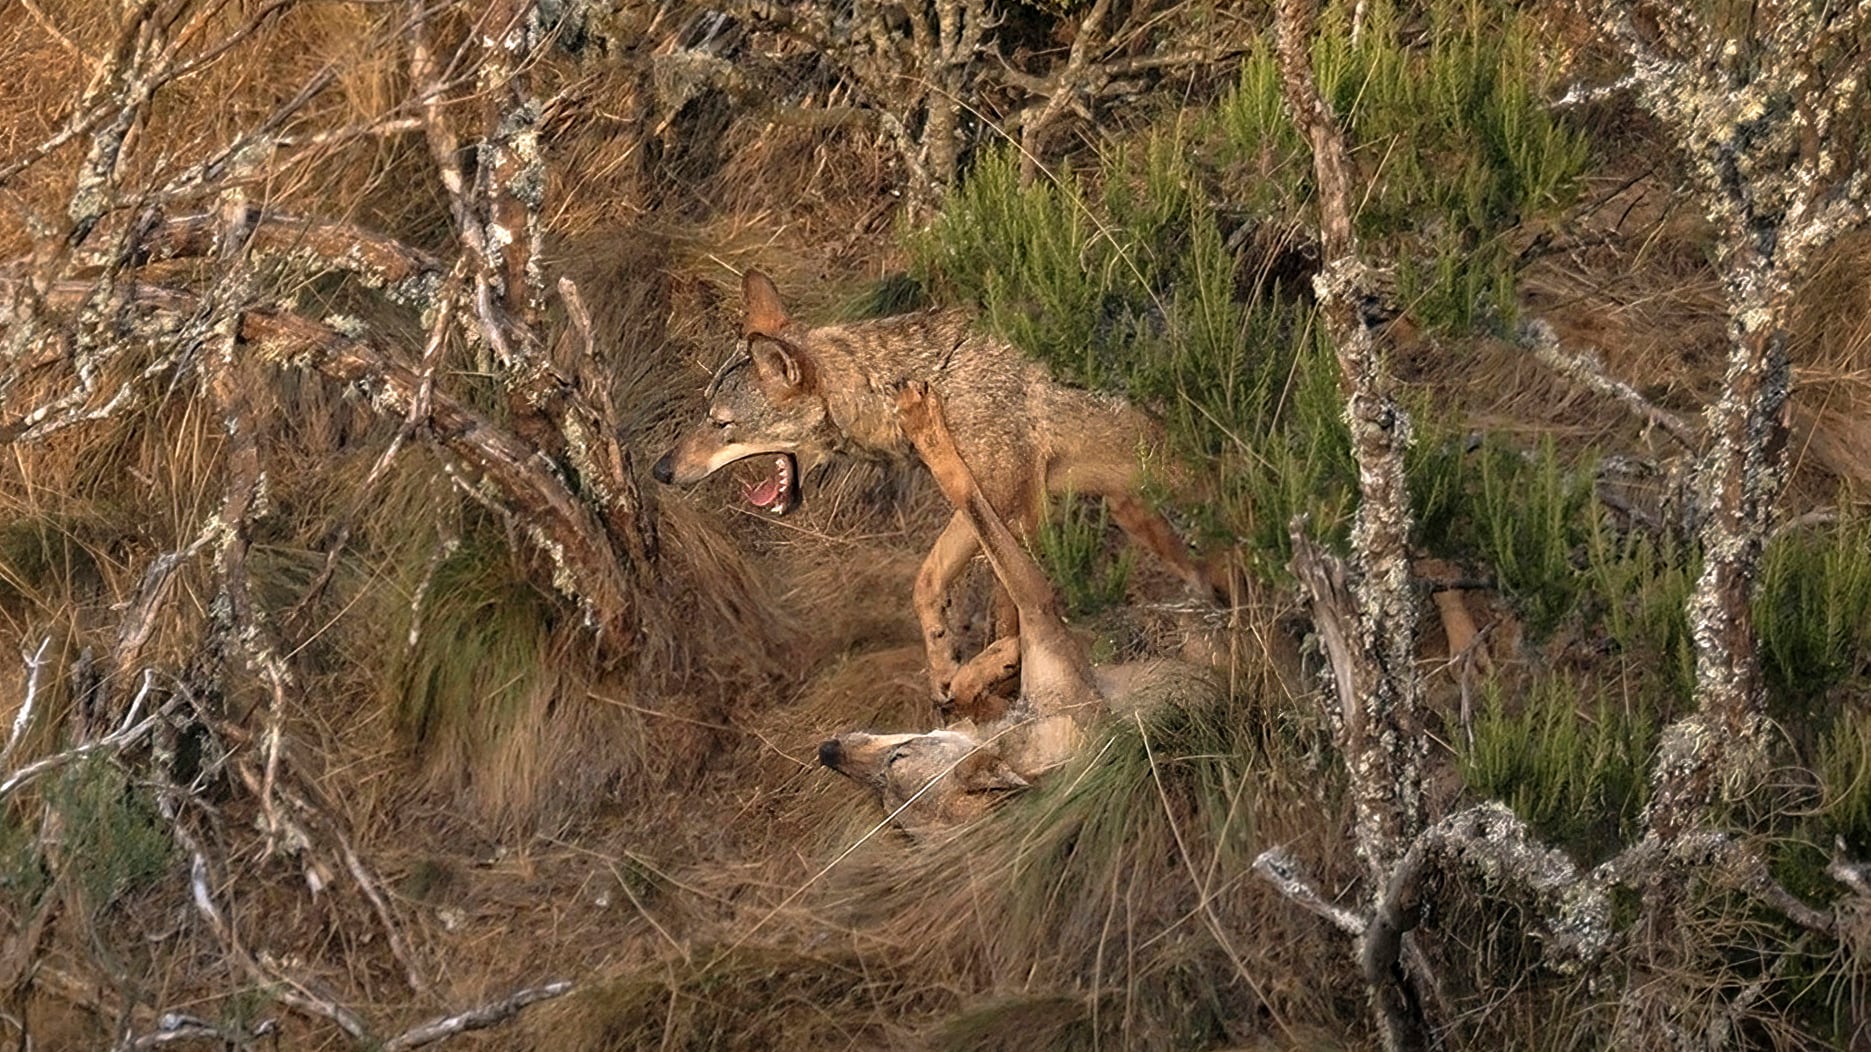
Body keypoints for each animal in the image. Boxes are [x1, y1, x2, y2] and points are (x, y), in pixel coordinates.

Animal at [651, 269, 1219, 711]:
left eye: (720, 424)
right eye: (705, 414)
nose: (660, 470)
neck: (916, 382)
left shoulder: (1020, 503)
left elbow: (1013, 606)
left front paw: (1000, 673)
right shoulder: (991, 498)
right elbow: (928, 579)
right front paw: (946, 666)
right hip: (1134, 505)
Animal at [815, 379, 1219, 831]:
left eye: (896, 760)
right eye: (884, 798)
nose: (826, 752)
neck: (1023, 737)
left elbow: (964, 686)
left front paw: (987, 665)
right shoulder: (1039, 607)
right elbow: (969, 496)